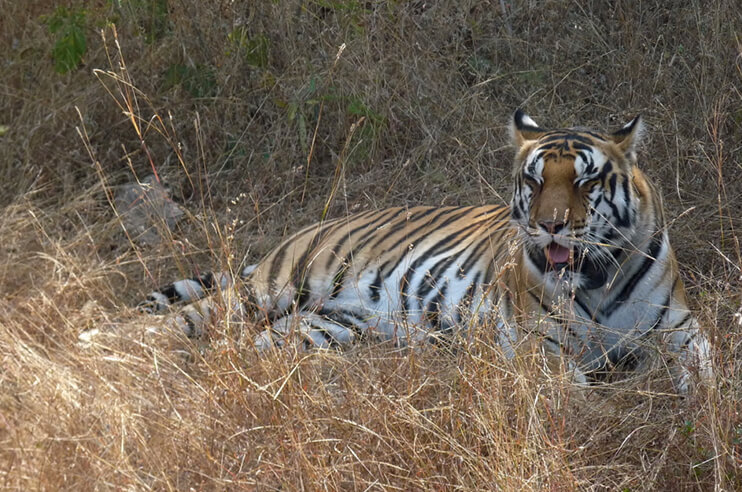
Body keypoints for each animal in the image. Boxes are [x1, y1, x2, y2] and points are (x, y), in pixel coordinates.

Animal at [141, 110, 716, 392]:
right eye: (534, 180)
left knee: (246, 346)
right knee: (188, 318)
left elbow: (707, 375)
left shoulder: (680, 331)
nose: (549, 226)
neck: (598, 277)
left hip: (321, 327)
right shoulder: (540, 346)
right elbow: (580, 396)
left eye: (586, 181)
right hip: (275, 286)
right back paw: (132, 348)